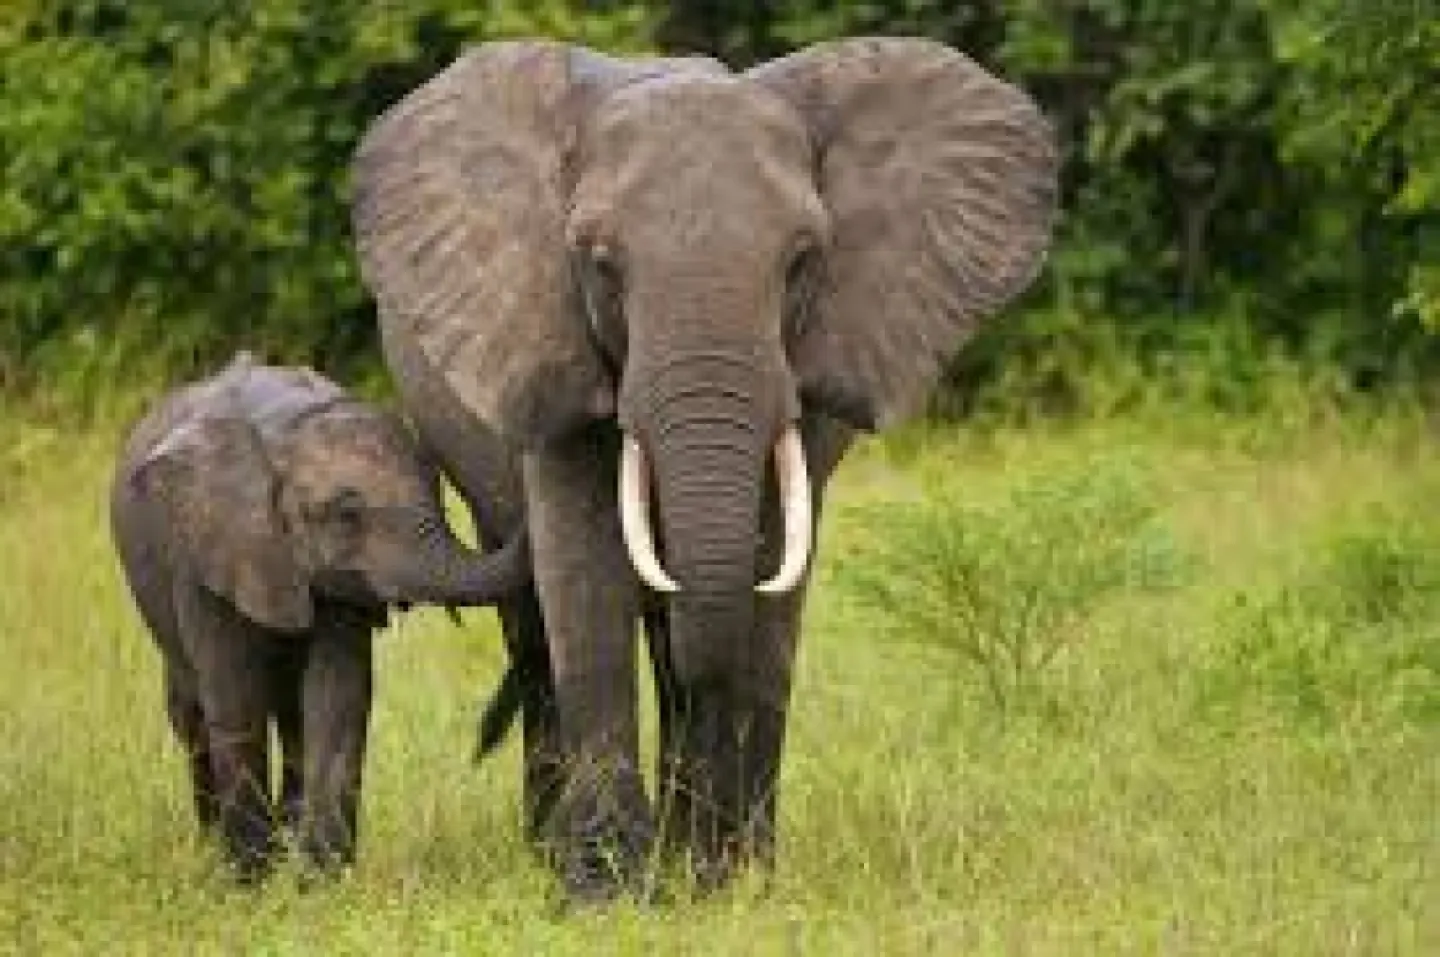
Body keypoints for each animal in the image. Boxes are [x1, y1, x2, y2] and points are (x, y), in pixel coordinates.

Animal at [109, 352, 530, 880]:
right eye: (346, 516)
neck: (286, 431)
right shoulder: (207, 554)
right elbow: (235, 699)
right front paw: (251, 881)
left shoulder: (337, 582)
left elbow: (338, 695)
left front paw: (322, 879)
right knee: (191, 714)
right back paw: (212, 847)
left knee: (292, 718)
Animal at [350, 36, 1057, 900]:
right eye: (599, 261)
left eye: (802, 260)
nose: (707, 860)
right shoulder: (545, 334)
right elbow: (582, 572)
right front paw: (606, 891)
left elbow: (770, 583)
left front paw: (730, 881)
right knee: (536, 625)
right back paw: (552, 850)